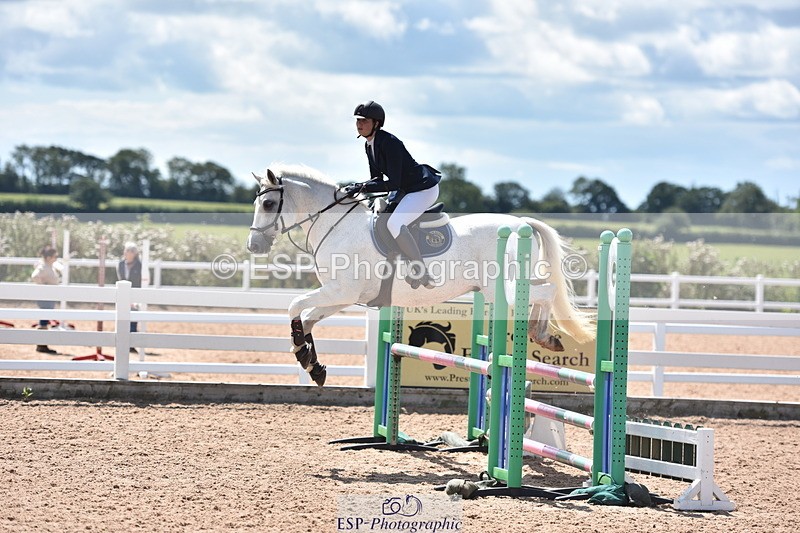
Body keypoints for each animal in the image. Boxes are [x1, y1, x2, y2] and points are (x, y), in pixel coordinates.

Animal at [246, 164, 593, 386]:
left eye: (268, 203)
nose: (254, 245)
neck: (337, 225)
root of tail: (522, 223)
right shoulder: (341, 295)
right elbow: (307, 320)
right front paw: (312, 364)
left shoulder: (341, 291)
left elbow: (294, 306)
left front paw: (303, 355)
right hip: (500, 287)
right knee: (543, 292)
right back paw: (544, 336)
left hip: (507, 288)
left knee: (547, 292)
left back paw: (543, 335)